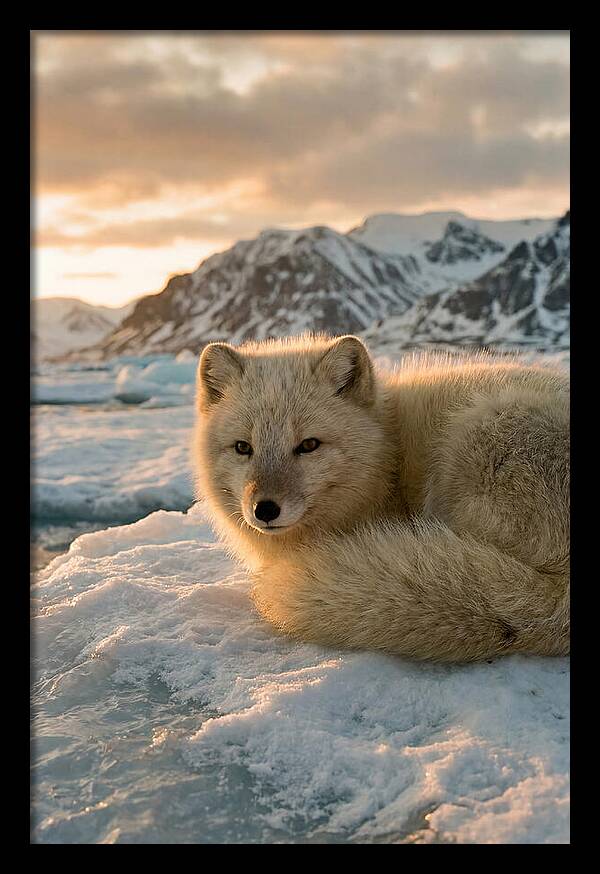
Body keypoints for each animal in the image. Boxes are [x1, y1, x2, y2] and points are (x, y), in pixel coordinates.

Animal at [192, 334, 569, 663]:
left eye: (309, 445)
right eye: (243, 447)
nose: (265, 510)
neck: (388, 455)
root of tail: (559, 601)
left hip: (476, 436)